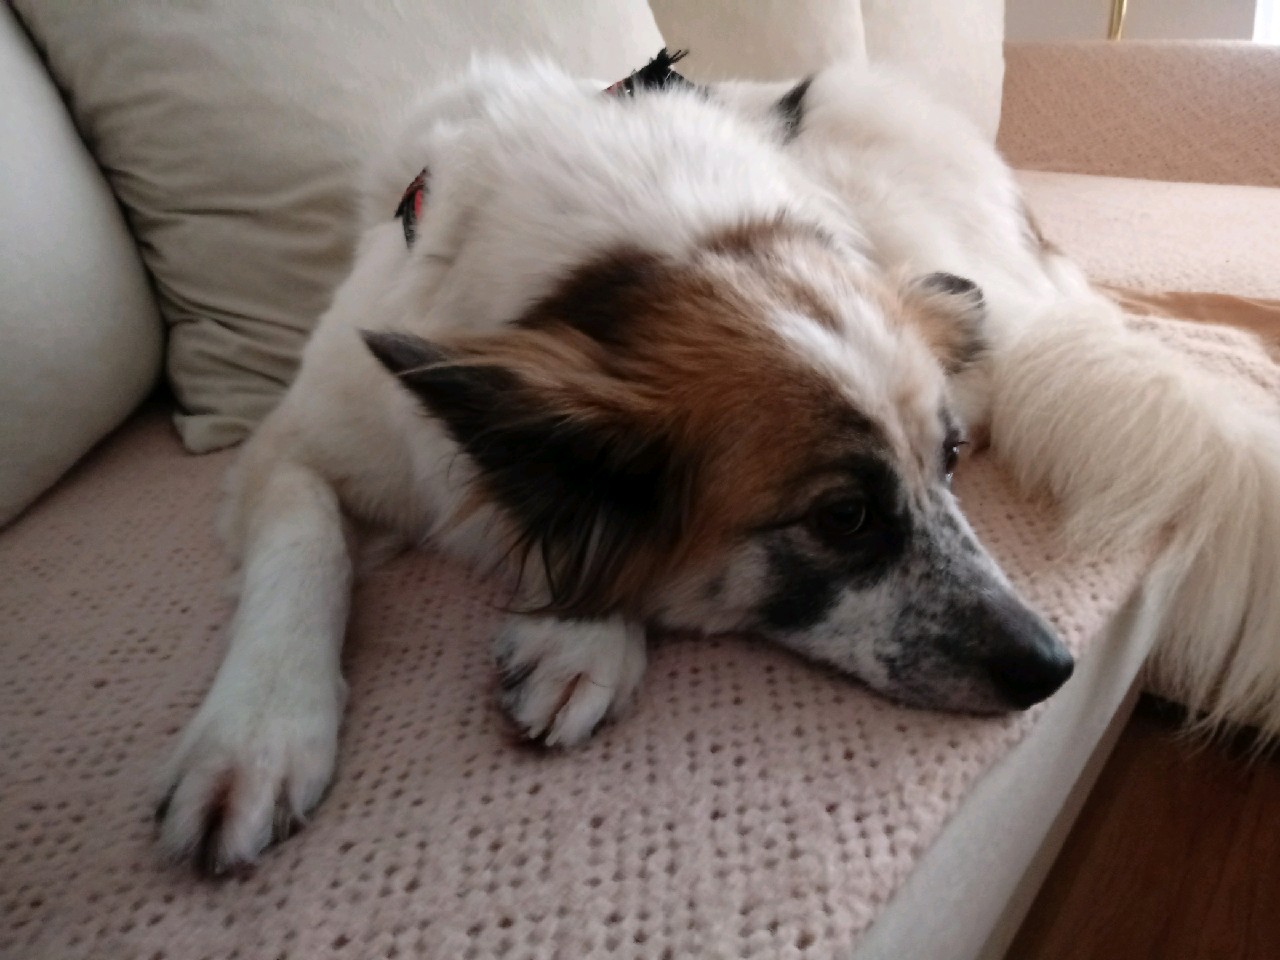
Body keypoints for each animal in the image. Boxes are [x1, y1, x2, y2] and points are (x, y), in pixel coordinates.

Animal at [156, 53, 1280, 874]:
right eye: (842, 518)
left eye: (949, 465)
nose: (1054, 670)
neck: (616, 261)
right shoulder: (297, 445)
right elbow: (307, 545)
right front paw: (258, 733)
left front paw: (578, 630)